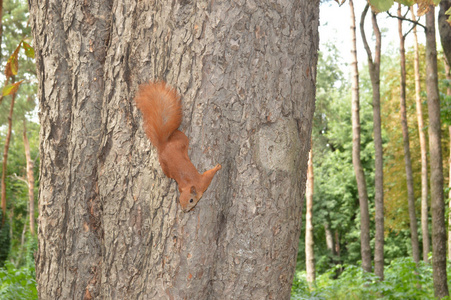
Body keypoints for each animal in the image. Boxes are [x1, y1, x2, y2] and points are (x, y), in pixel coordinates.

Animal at [134, 79, 222, 211]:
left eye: (191, 200)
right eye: (179, 201)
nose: (184, 210)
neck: (190, 185)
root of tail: (163, 145)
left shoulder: (201, 183)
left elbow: (209, 175)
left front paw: (217, 167)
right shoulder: (199, 183)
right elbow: (208, 175)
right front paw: (217, 167)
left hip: (179, 140)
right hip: (168, 160)